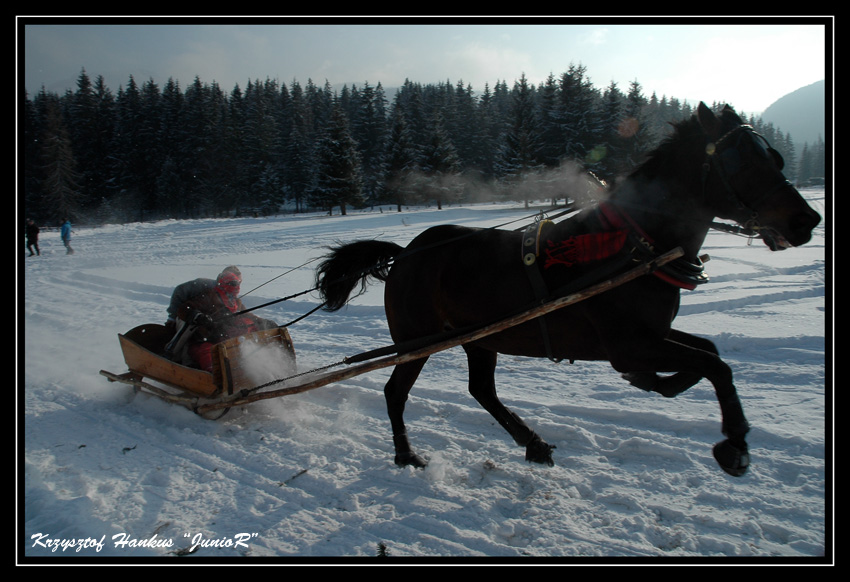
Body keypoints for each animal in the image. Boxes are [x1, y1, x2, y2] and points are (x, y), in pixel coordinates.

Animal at [314, 104, 820, 480]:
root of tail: (406, 253)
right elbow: (714, 366)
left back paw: (532, 443)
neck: (635, 244)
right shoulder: (629, 343)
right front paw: (734, 445)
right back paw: (406, 454)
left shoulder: (651, 335)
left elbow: (709, 353)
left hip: (480, 337)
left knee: (481, 390)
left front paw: (658, 383)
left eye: (774, 157)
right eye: (743, 160)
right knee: (395, 392)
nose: (807, 220)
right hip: (416, 341)